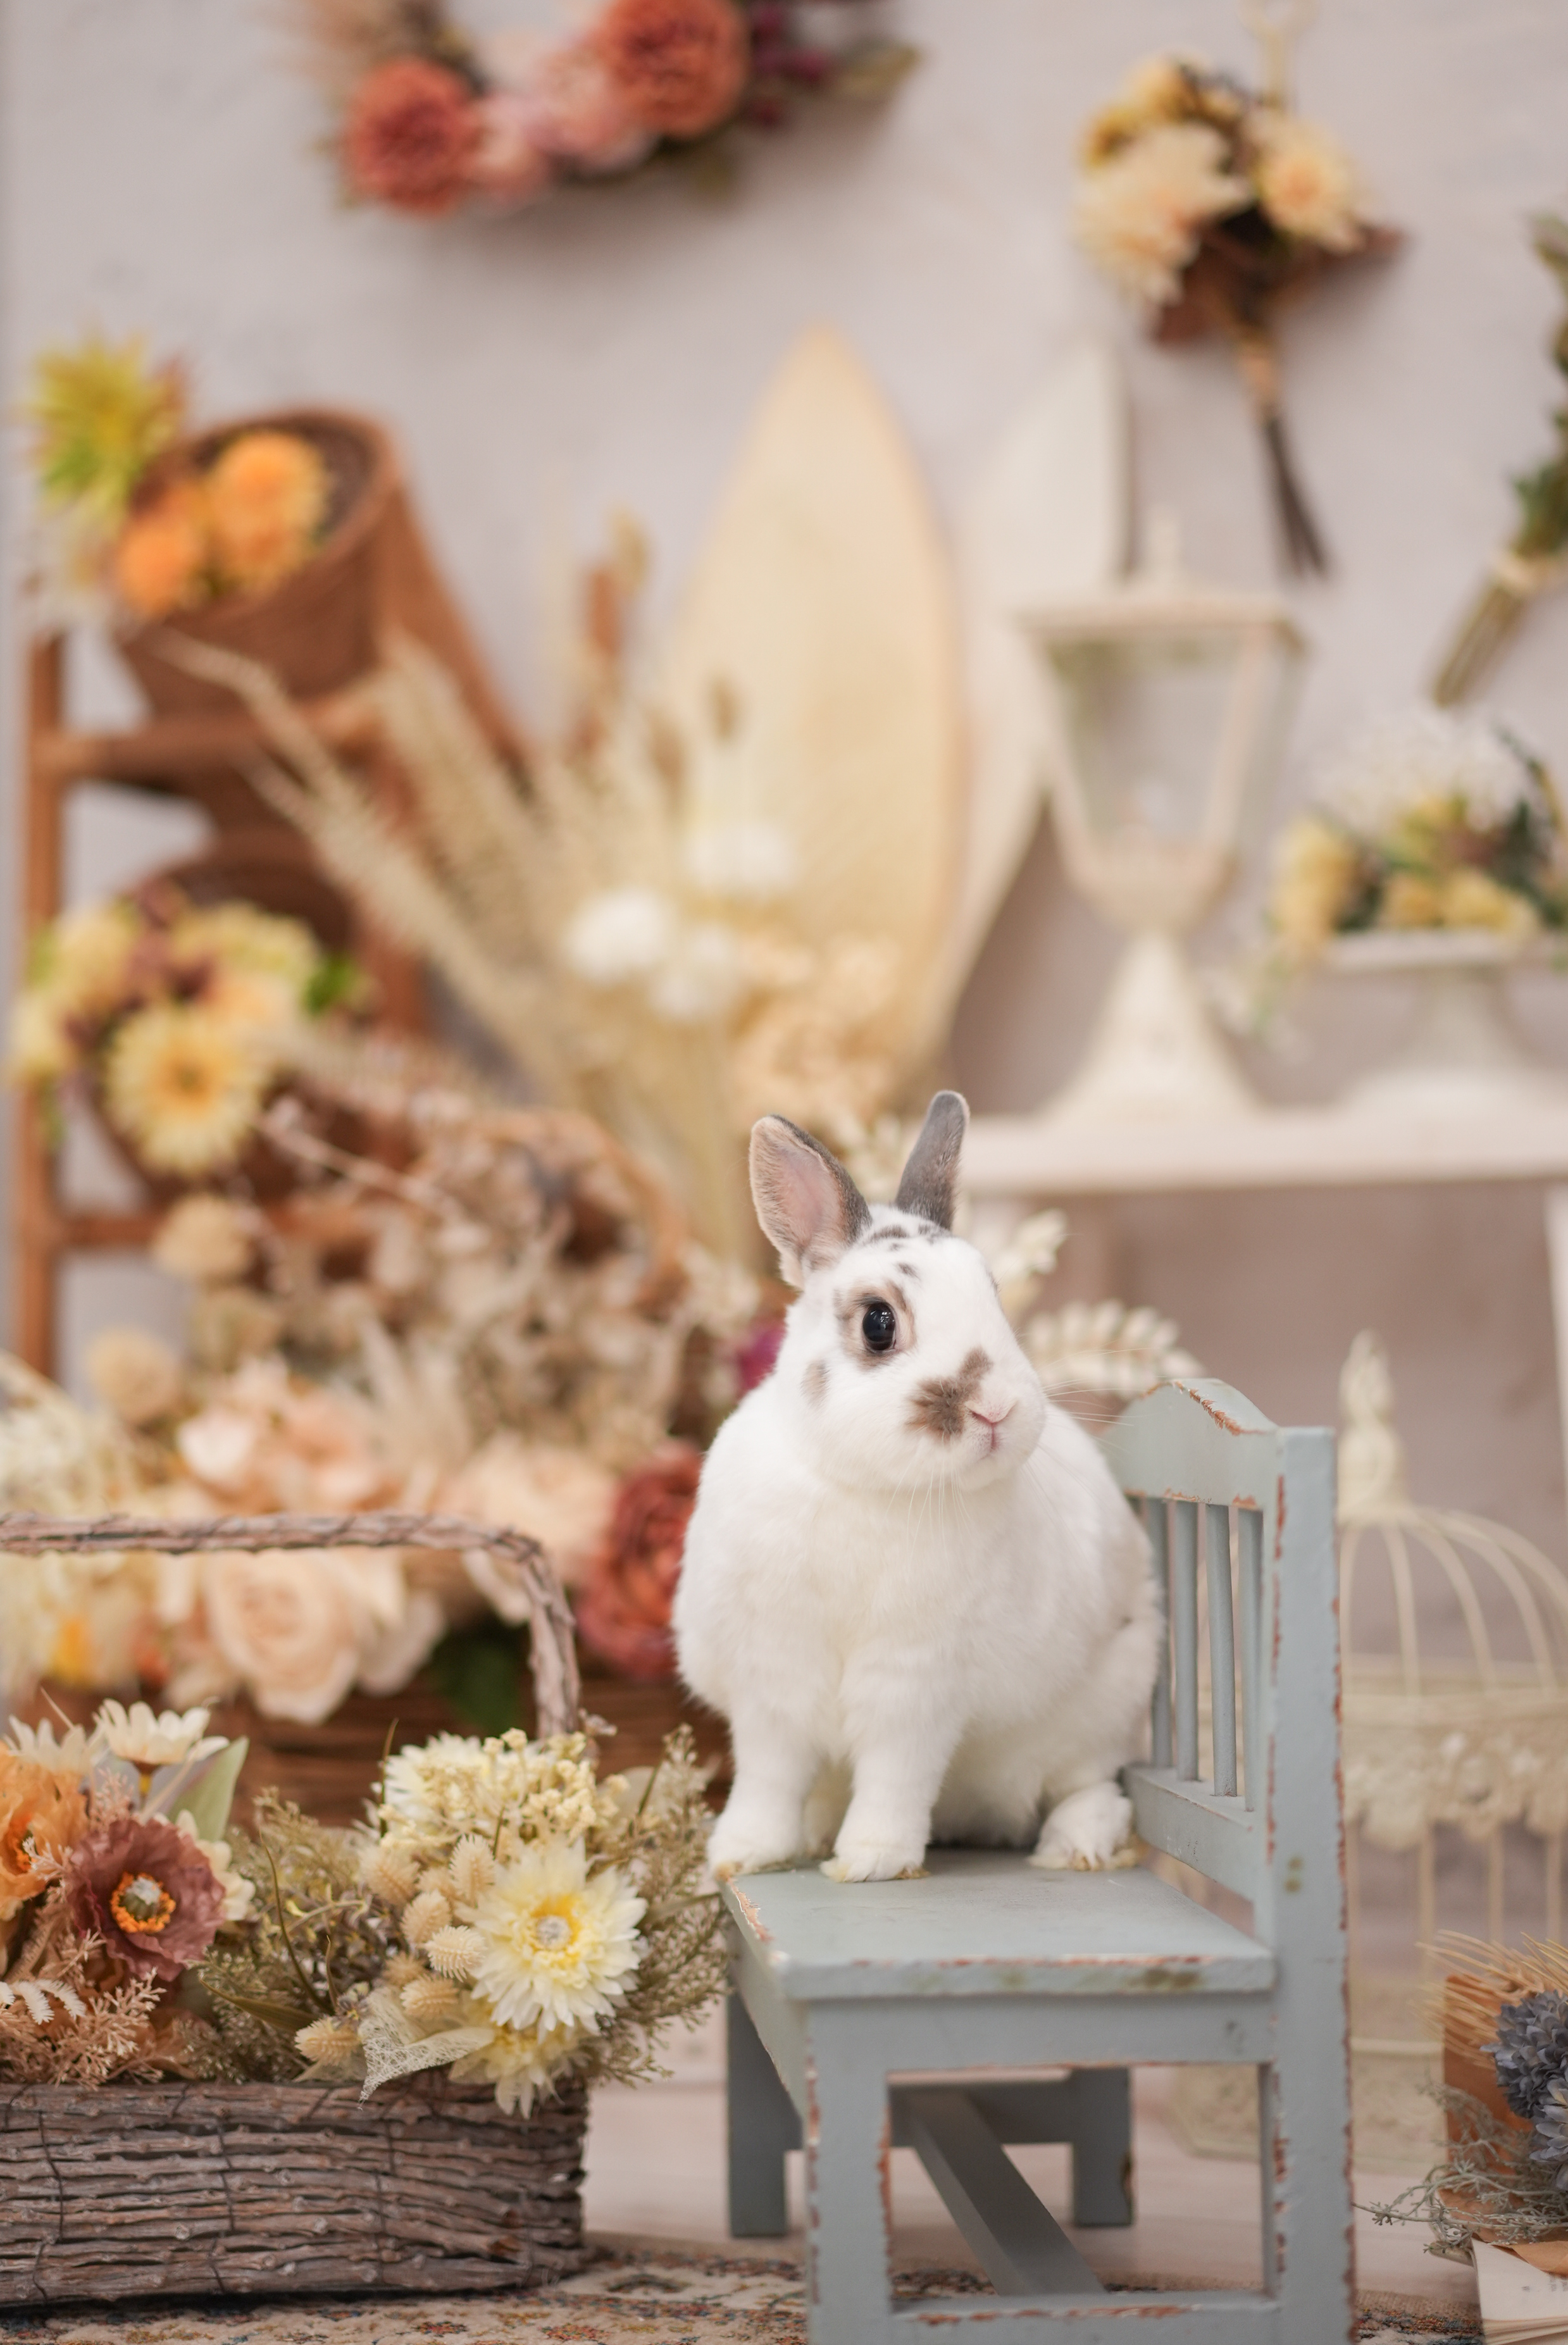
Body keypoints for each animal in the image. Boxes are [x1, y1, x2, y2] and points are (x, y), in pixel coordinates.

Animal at [673, 1091, 1161, 1885]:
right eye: (879, 1322)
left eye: (996, 1298)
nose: (997, 1409)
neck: (863, 1485)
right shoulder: (771, 1682)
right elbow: (768, 1776)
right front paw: (742, 1855)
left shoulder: (916, 1685)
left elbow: (895, 1776)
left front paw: (872, 1861)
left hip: (1105, 1711)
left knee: (1096, 1789)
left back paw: (1072, 1846)